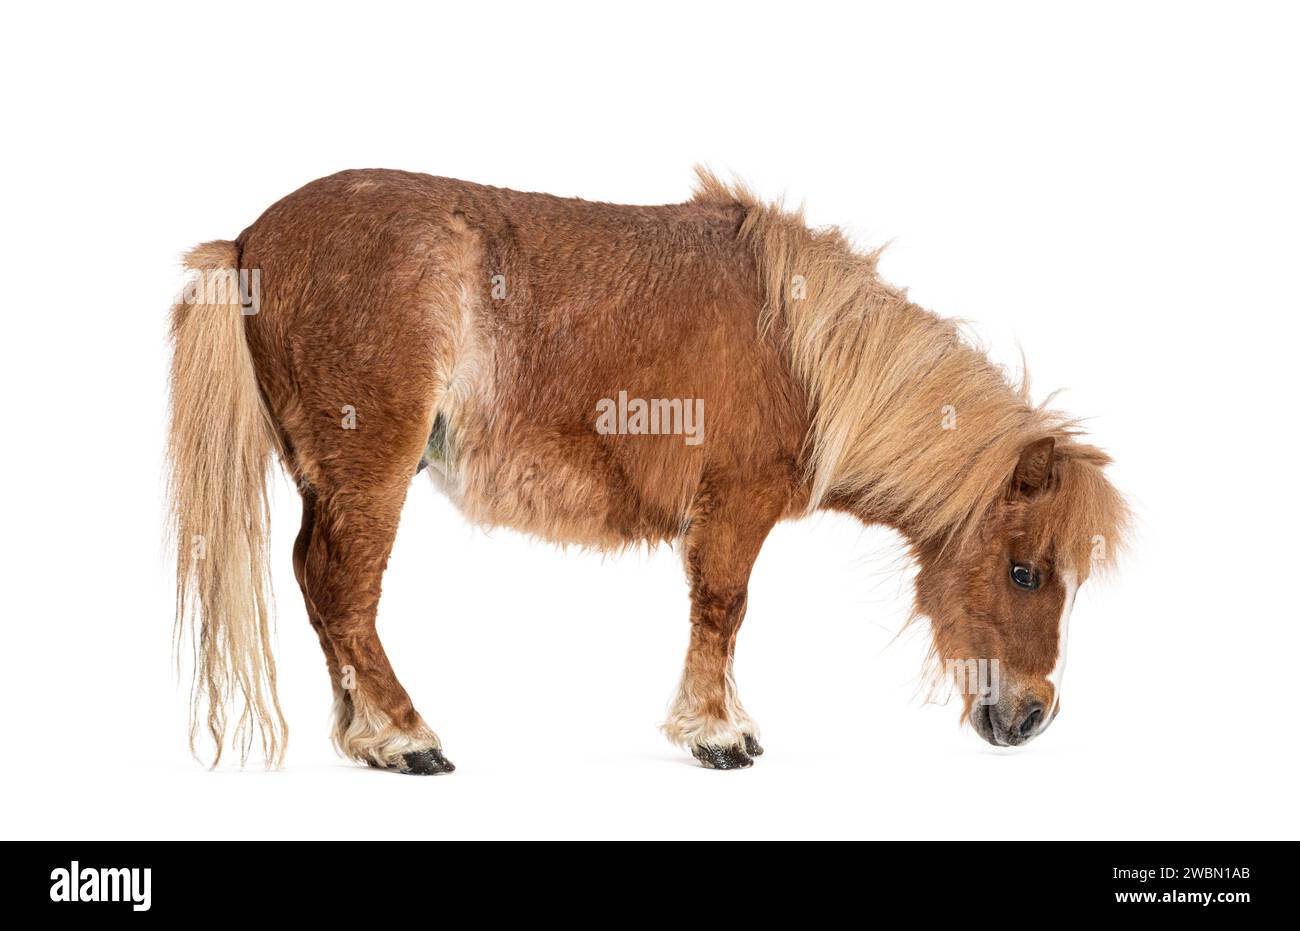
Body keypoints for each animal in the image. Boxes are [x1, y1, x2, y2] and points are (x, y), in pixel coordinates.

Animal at [167, 167, 1129, 774]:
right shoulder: (735, 507)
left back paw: (363, 735)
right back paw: (402, 737)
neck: (800, 348)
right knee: (342, 589)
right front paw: (717, 733)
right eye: (1024, 570)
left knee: (319, 586)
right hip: (370, 470)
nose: (1032, 716)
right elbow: (723, 609)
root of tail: (250, 239)